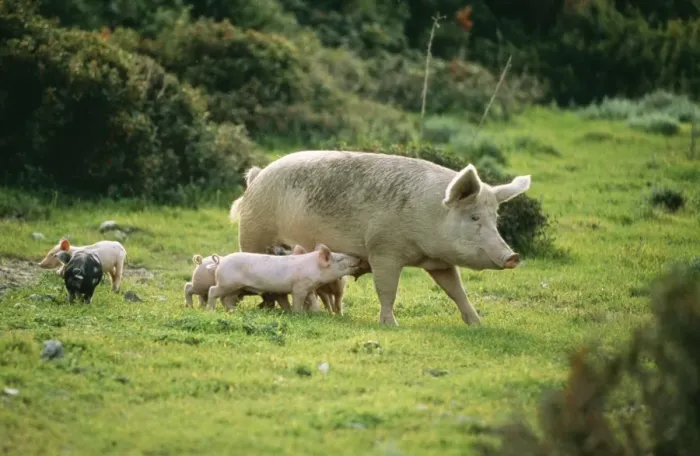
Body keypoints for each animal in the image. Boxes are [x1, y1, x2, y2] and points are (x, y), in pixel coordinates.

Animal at [205, 244, 364, 313]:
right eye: (340, 259)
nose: (358, 258)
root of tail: (220, 261)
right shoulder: (299, 286)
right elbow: (298, 300)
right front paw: (298, 314)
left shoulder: (309, 288)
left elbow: (313, 300)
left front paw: (316, 313)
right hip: (227, 283)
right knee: (213, 290)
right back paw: (210, 310)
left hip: (235, 287)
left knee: (227, 299)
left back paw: (233, 310)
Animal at [228, 150, 531, 326]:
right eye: (474, 218)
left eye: (495, 218)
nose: (513, 256)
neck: (429, 215)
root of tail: (256, 177)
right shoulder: (384, 250)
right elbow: (387, 290)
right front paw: (390, 325)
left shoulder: (440, 262)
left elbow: (456, 291)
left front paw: (478, 324)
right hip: (254, 233)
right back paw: (267, 308)